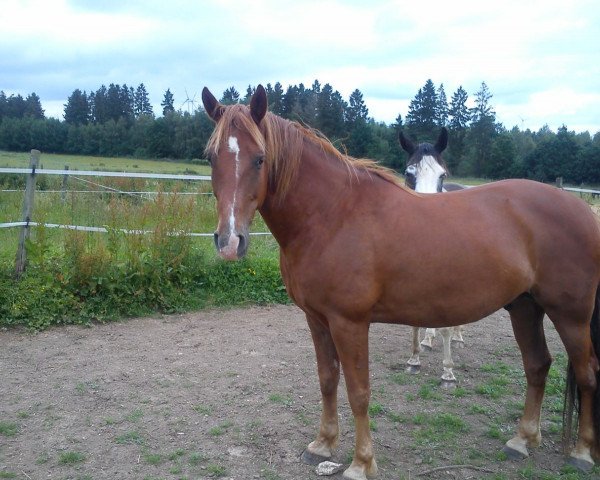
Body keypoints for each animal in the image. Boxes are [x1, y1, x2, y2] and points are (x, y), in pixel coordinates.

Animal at [200, 86, 600, 480]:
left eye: (260, 159)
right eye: (211, 157)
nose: (229, 241)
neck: (333, 215)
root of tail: (583, 209)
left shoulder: (349, 323)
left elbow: (358, 391)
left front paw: (361, 463)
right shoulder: (317, 319)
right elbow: (327, 379)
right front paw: (323, 445)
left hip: (571, 315)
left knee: (587, 373)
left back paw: (581, 452)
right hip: (525, 306)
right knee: (538, 365)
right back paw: (522, 440)